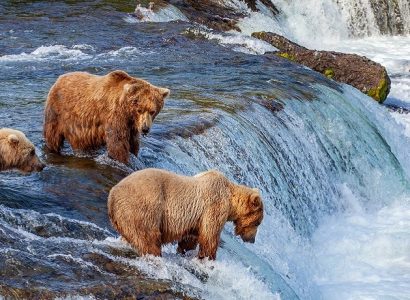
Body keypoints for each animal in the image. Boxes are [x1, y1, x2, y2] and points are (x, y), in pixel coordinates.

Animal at [107, 169, 264, 260]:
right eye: (257, 222)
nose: (252, 240)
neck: (230, 198)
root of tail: (112, 195)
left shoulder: (195, 219)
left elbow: (190, 238)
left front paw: (185, 251)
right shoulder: (214, 206)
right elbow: (210, 236)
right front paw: (208, 258)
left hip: (125, 215)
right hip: (144, 207)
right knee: (148, 237)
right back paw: (155, 254)